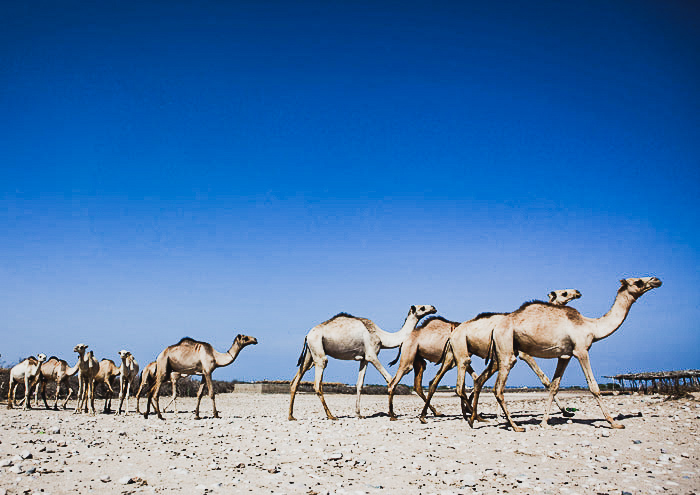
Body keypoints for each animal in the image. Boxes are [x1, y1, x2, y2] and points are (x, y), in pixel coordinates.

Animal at [288, 304, 434, 420]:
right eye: (422, 307)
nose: (433, 307)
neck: (382, 337)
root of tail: (307, 335)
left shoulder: (364, 359)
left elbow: (359, 384)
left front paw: (359, 414)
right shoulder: (371, 355)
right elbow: (389, 378)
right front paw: (393, 414)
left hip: (309, 353)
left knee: (296, 380)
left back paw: (291, 416)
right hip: (318, 349)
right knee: (318, 383)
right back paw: (331, 416)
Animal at [388, 290, 580, 422]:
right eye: (564, 292)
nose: (577, 292)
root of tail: (407, 339)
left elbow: (475, 381)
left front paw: (472, 412)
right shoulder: (518, 354)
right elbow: (544, 379)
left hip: (423, 361)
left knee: (424, 384)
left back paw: (431, 414)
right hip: (412, 357)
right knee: (398, 382)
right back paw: (394, 414)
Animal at [470, 278, 660, 432]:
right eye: (638, 282)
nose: (656, 280)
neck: (592, 327)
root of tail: (495, 328)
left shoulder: (565, 355)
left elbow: (554, 386)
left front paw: (545, 422)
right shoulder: (581, 350)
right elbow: (594, 386)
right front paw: (614, 422)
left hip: (503, 352)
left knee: (484, 381)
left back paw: (474, 419)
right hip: (506, 349)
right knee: (498, 388)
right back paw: (515, 426)